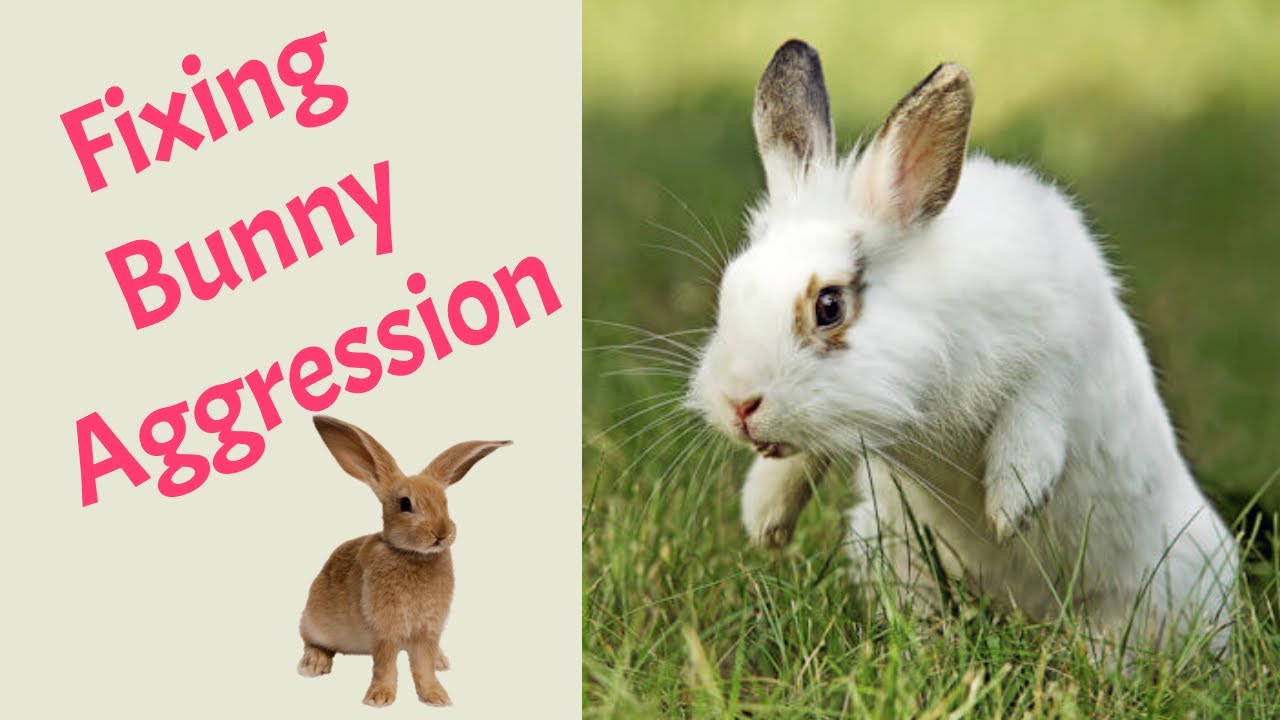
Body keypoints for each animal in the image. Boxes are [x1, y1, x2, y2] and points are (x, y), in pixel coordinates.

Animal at [296, 414, 510, 707]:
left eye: (445, 503)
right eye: (405, 504)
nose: (442, 532)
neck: (412, 555)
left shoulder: (428, 629)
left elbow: (422, 665)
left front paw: (436, 696)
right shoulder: (385, 628)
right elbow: (386, 664)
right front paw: (379, 698)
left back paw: (441, 660)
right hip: (317, 620)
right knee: (311, 639)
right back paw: (313, 664)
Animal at [688, 39, 1238, 653]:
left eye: (829, 305)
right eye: (731, 286)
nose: (738, 404)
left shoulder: (1062, 342)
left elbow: (1036, 410)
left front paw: (1010, 505)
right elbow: (800, 459)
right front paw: (764, 519)